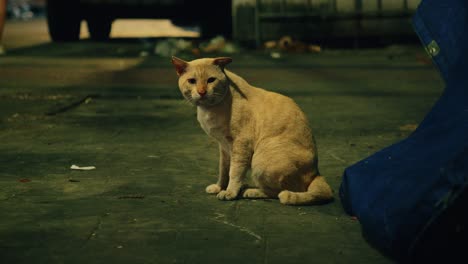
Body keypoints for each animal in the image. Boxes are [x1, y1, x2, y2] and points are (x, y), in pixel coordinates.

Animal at [172, 55, 332, 205]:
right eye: (192, 81)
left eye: (211, 80)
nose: (202, 92)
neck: (209, 110)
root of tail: (316, 172)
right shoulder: (223, 147)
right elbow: (223, 170)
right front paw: (219, 187)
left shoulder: (240, 144)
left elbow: (234, 172)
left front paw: (230, 192)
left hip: (260, 160)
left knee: (280, 192)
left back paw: (249, 191)